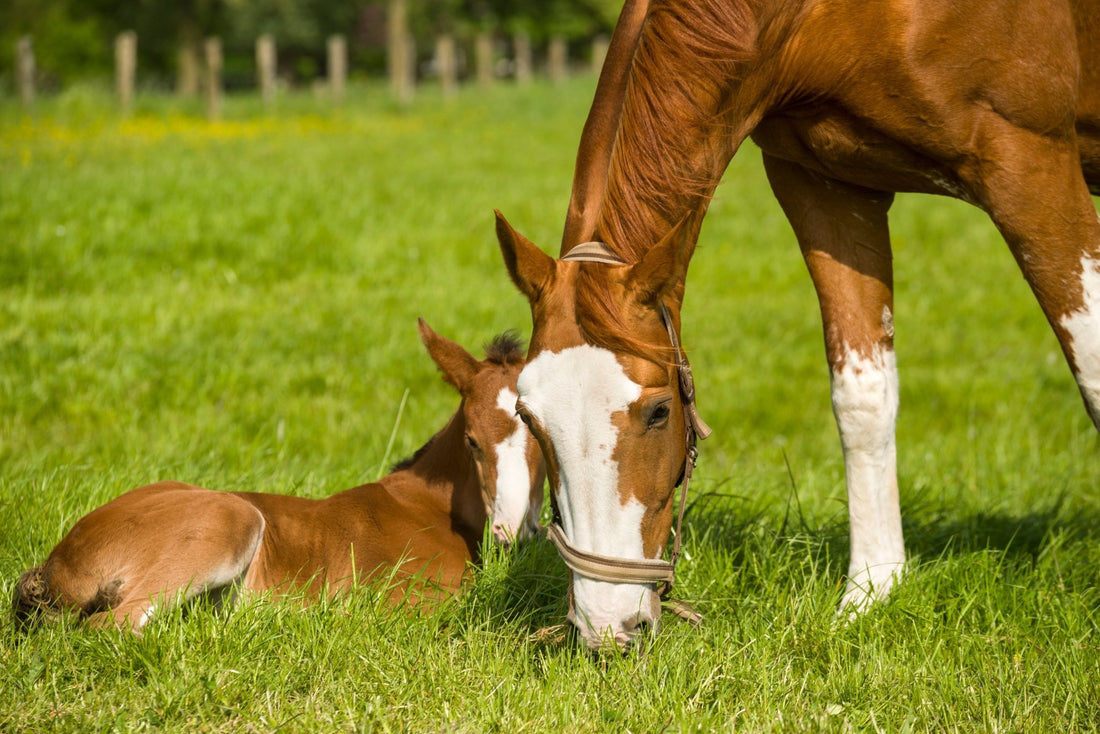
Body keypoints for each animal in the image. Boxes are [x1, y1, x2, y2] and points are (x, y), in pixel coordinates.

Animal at [12, 321, 545, 633]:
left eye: (543, 437)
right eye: (472, 440)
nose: (511, 530)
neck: (429, 506)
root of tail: (59, 561)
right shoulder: (407, 599)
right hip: (232, 518)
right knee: (114, 623)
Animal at [497, 0, 1100, 655]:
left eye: (659, 412)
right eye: (528, 418)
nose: (605, 627)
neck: (816, 18)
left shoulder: (1029, 163)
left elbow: (1092, 369)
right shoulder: (828, 184)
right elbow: (862, 397)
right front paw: (871, 591)